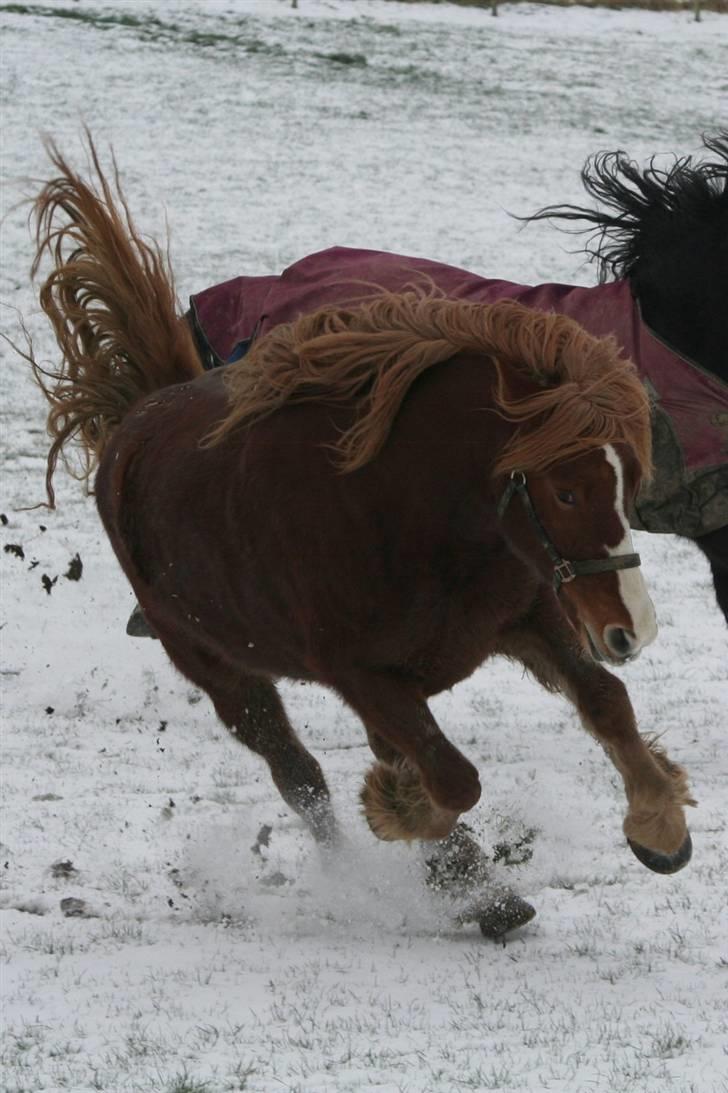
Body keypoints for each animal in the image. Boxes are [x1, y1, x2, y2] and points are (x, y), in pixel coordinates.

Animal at [28, 140, 690, 935]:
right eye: (564, 490)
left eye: (629, 482)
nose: (634, 629)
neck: (412, 515)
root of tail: (139, 419)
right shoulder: (362, 675)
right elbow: (452, 780)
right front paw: (397, 813)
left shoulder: (526, 620)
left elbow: (605, 702)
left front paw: (660, 828)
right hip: (221, 672)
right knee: (301, 779)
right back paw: (413, 879)